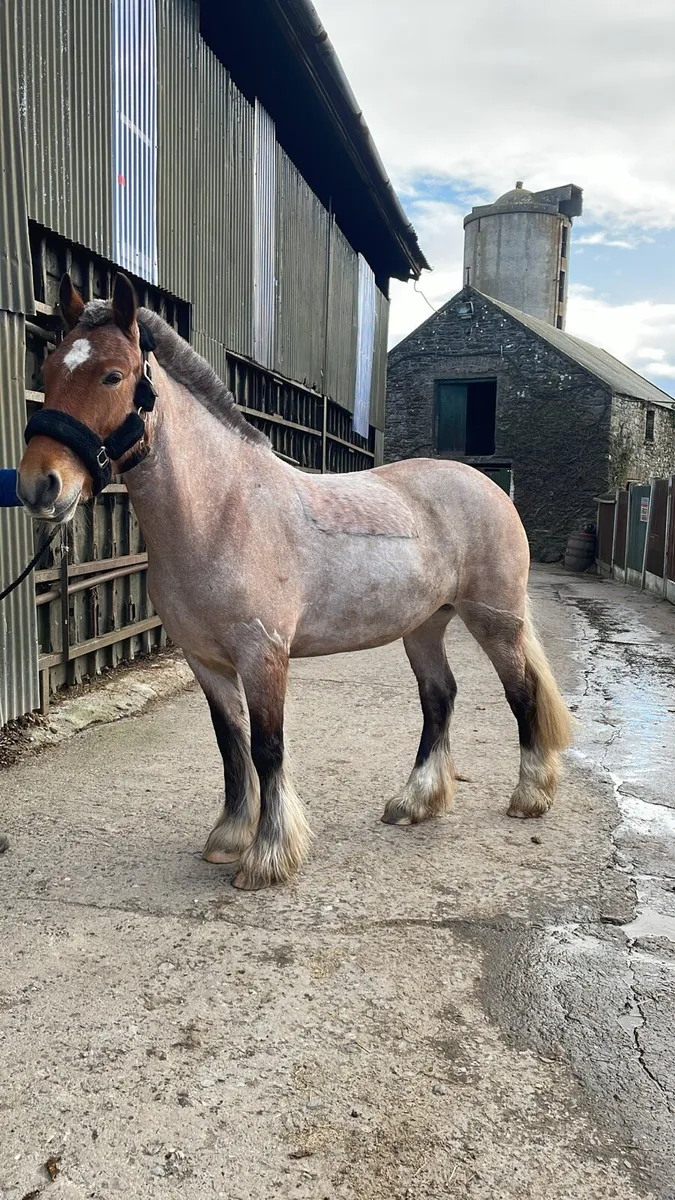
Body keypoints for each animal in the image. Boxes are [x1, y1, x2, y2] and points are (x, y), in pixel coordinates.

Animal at [17, 273, 572, 891]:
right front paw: (229, 837)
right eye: (49, 370)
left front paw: (267, 856)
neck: (223, 510)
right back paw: (415, 803)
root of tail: (489, 487)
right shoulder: (206, 661)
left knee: (521, 694)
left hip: (494, 620)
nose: (39, 485)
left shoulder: (263, 655)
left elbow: (267, 748)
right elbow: (230, 745)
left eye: (113, 375)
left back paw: (529, 796)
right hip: (424, 626)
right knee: (439, 698)